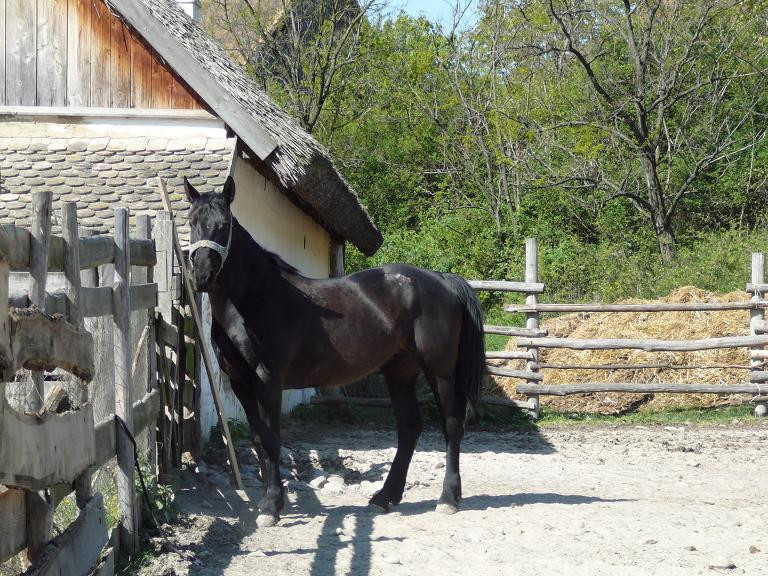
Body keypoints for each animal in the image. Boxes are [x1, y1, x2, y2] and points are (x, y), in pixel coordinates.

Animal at [184, 178, 486, 528]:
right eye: (191, 222)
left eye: (224, 224)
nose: (201, 275)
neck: (255, 301)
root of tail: (441, 280)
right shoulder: (239, 382)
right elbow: (260, 440)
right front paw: (269, 502)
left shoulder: (268, 380)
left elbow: (272, 439)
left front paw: (271, 506)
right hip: (400, 371)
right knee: (409, 428)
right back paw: (385, 497)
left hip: (440, 372)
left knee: (451, 426)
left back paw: (448, 499)